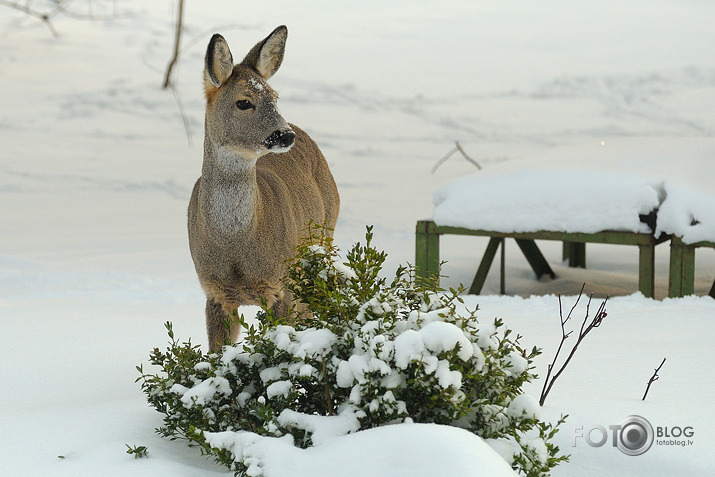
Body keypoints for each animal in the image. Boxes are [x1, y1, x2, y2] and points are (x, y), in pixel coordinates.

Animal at [187, 27, 338, 350]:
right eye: (244, 102)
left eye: (275, 97)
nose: (285, 135)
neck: (236, 246)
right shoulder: (214, 292)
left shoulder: (281, 284)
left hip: (325, 236)